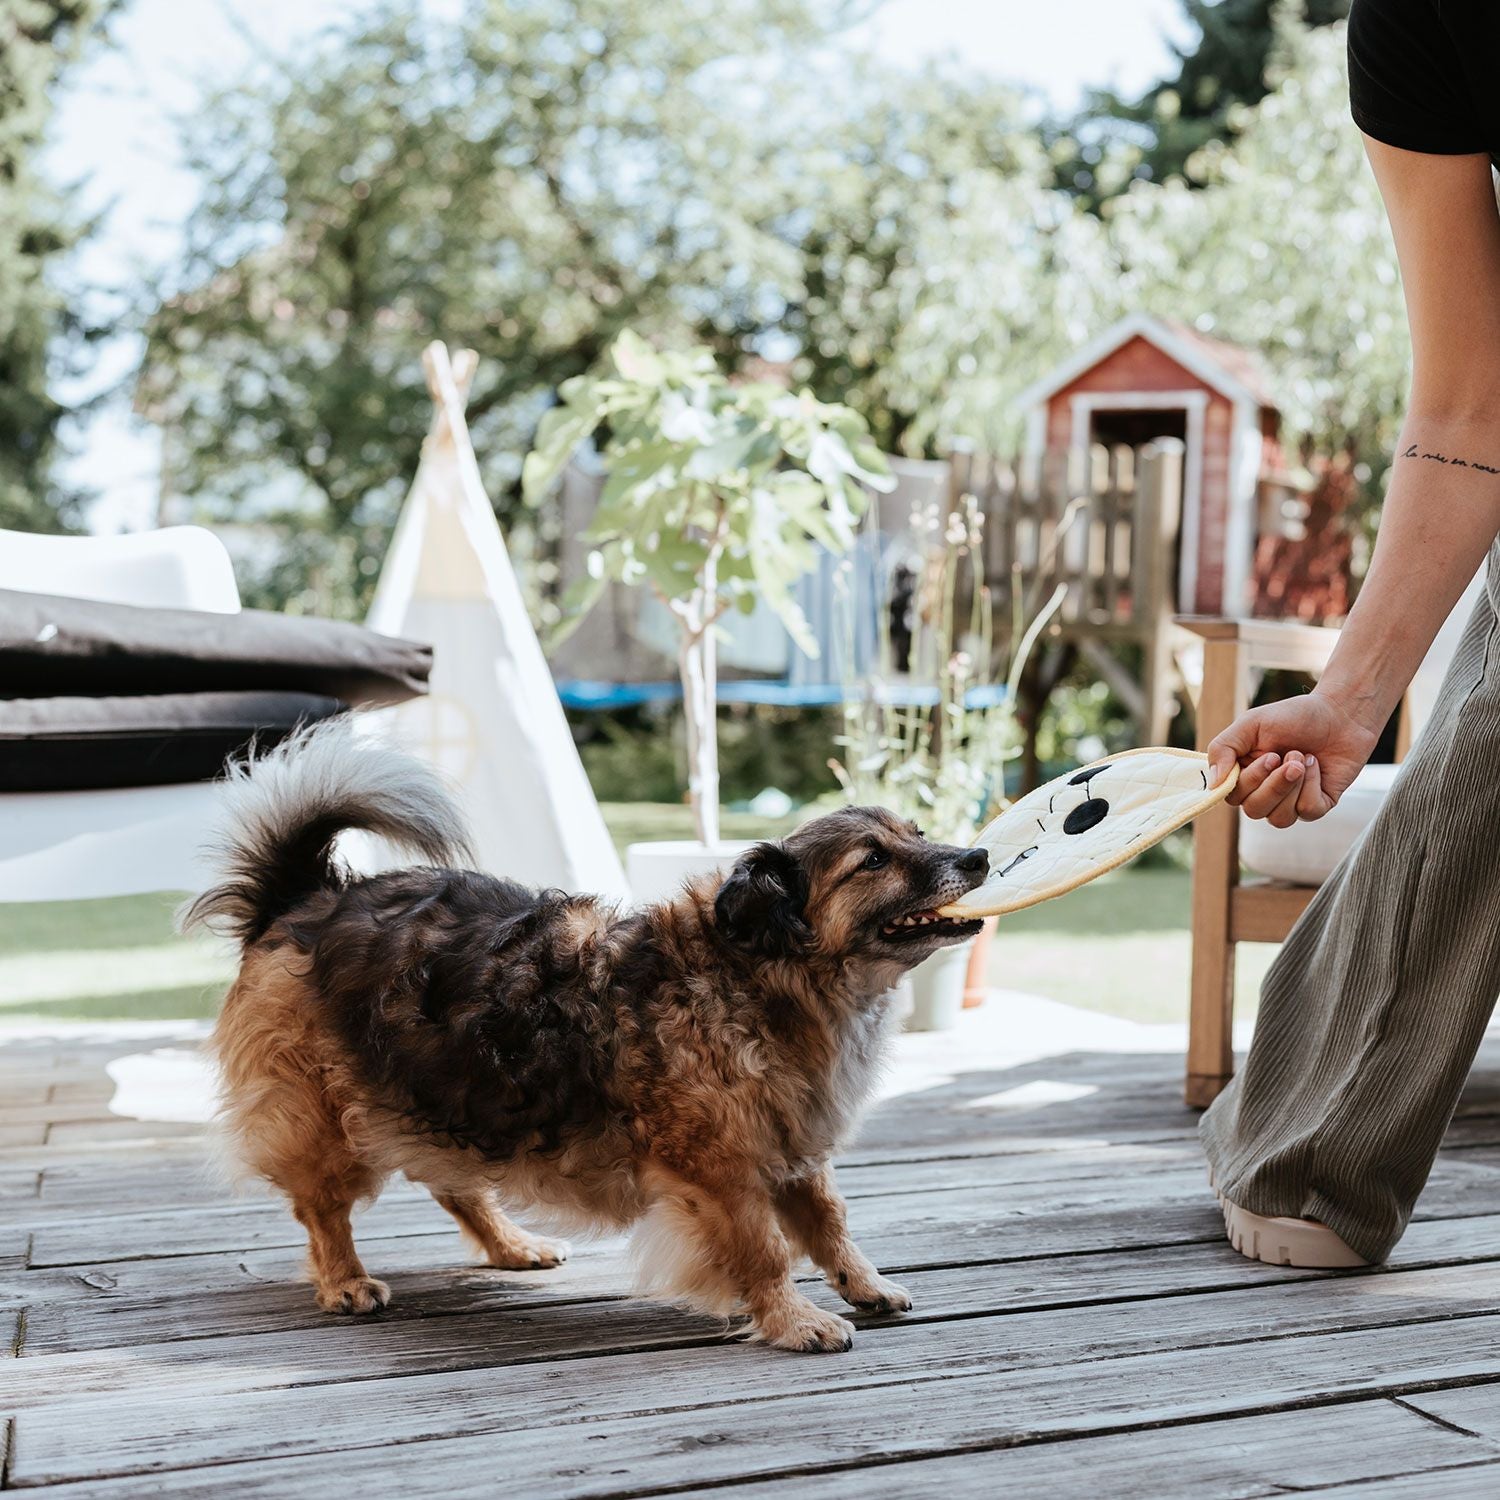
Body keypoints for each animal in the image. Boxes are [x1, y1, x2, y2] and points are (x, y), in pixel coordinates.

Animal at [184, 720, 984, 1356]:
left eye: (917, 835)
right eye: (873, 860)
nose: (976, 857)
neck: (758, 974)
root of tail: (305, 896)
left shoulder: (793, 1145)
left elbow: (830, 1223)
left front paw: (864, 1283)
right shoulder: (721, 1169)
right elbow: (763, 1250)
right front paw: (793, 1320)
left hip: (454, 1091)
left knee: (454, 1181)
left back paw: (511, 1246)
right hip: (329, 1121)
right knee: (324, 1208)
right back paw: (345, 1279)